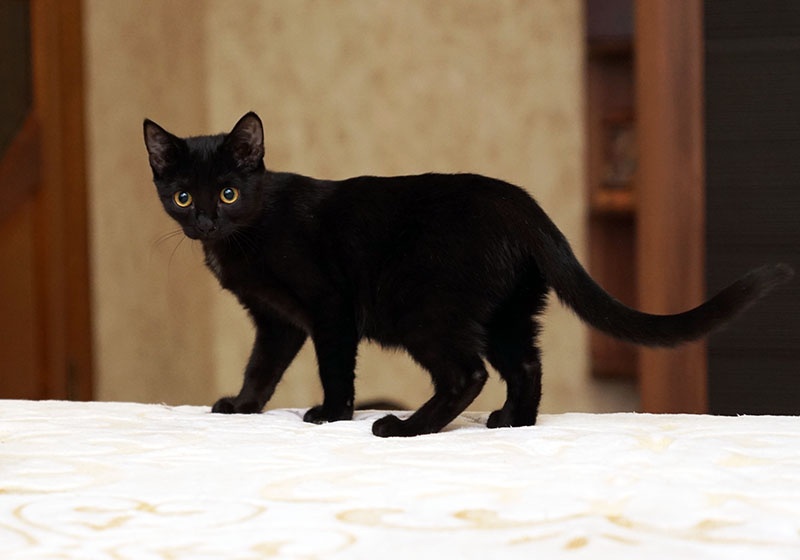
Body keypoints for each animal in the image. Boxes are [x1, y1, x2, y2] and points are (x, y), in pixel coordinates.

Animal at [143, 112, 793, 437]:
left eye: (229, 192)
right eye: (182, 196)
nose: (204, 220)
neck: (244, 235)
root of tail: (520, 204)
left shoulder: (327, 308)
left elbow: (332, 368)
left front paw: (331, 414)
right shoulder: (276, 320)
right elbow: (262, 365)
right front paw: (243, 406)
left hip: (420, 306)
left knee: (466, 373)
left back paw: (405, 428)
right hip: (505, 312)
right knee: (525, 365)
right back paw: (512, 424)